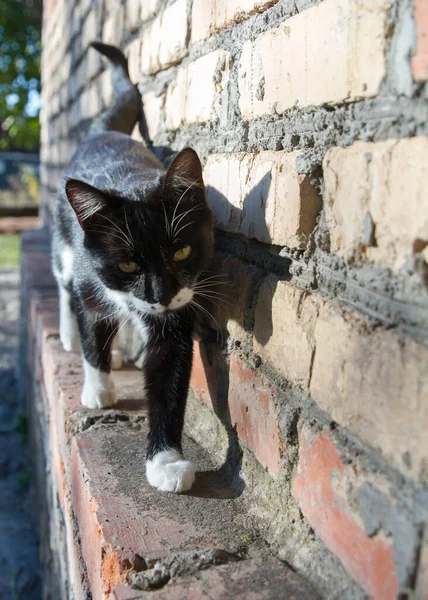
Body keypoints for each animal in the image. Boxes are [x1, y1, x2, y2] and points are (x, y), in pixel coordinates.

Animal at [52, 42, 216, 492]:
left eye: (181, 252)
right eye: (127, 263)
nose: (159, 295)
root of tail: (101, 130)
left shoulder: (177, 315)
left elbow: (169, 379)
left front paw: (166, 462)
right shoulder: (92, 279)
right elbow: (92, 326)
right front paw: (97, 387)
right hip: (65, 244)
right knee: (65, 287)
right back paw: (71, 336)